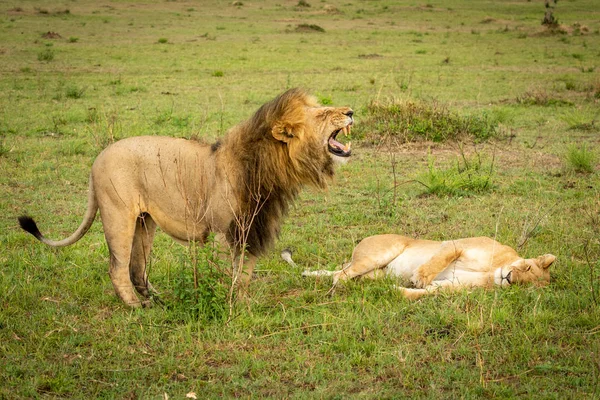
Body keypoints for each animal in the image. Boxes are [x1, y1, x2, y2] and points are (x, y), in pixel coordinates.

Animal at [18, 88, 354, 306]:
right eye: (324, 114)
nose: (351, 112)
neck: (269, 163)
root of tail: (96, 160)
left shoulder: (252, 227)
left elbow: (244, 274)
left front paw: (243, 304)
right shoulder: (223, 231)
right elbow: (226, 273)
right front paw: (225, 303)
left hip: (145, 222)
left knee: (137, 268)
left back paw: (157, 299)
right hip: (118, 215)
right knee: (117, 267)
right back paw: (135, 307)